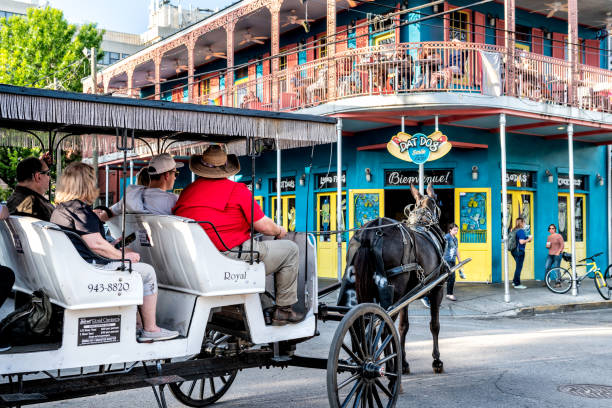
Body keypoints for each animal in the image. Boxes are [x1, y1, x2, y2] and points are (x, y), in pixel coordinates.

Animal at [344, 183, 444, 374]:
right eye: (435, 202)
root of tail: (371, 234)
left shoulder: (407, 295)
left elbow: (403, 327)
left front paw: (403, 362)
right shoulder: (437, 289)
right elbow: (434, 324)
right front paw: (436, 360)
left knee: (366, 323)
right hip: (395, 288)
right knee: (383, 325)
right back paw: (387, 365)